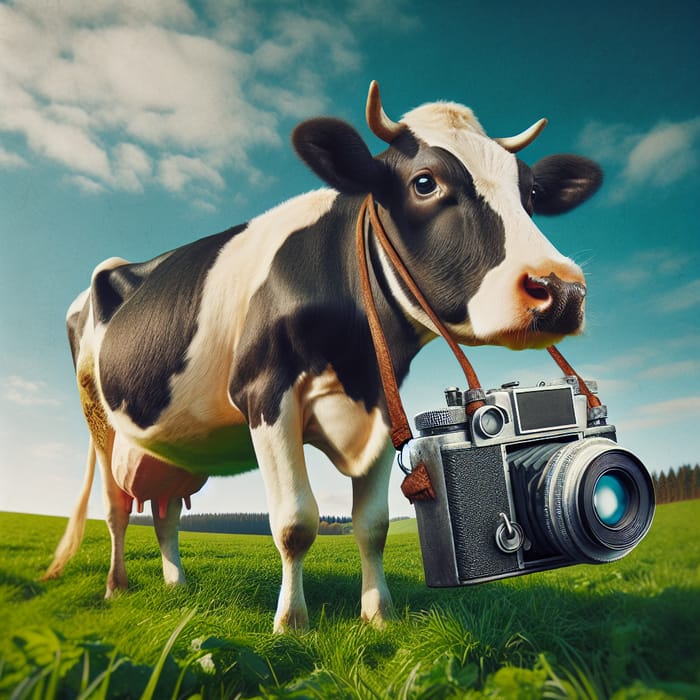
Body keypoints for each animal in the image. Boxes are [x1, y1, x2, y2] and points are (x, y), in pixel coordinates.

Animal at [43, 83, 600, 636]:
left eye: (531, 194)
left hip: (171, 447)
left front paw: (379, 615)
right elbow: (295, 522)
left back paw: (176, 585)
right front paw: (291, 622)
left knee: (164, 512)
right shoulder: (265, 393)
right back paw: (117, 588)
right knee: (116, 510)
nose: (561, 289)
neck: (354, 363)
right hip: (101, 424)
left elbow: (373, 524)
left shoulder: (383, 404)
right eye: (424, 182)